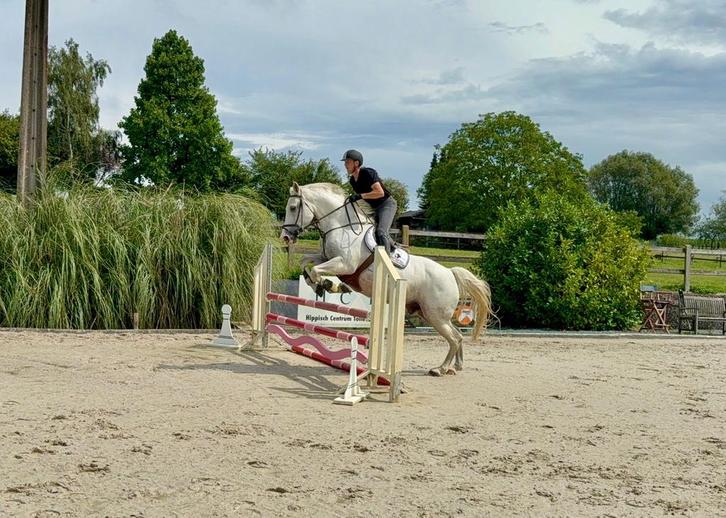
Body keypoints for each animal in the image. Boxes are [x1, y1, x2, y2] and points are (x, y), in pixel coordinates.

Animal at [279, 182, 493, 376]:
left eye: (293, 208)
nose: (285, 237)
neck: (340, 227)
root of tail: (450, 273)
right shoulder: (326, 258)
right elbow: (305, 262)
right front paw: (318, 285)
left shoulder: (345, 264)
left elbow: (316, 270)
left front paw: (330, 285)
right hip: (428, 314)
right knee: (457, 336)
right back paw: (455, 366)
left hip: (436, 315)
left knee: (455, 338)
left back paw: (440, 369)